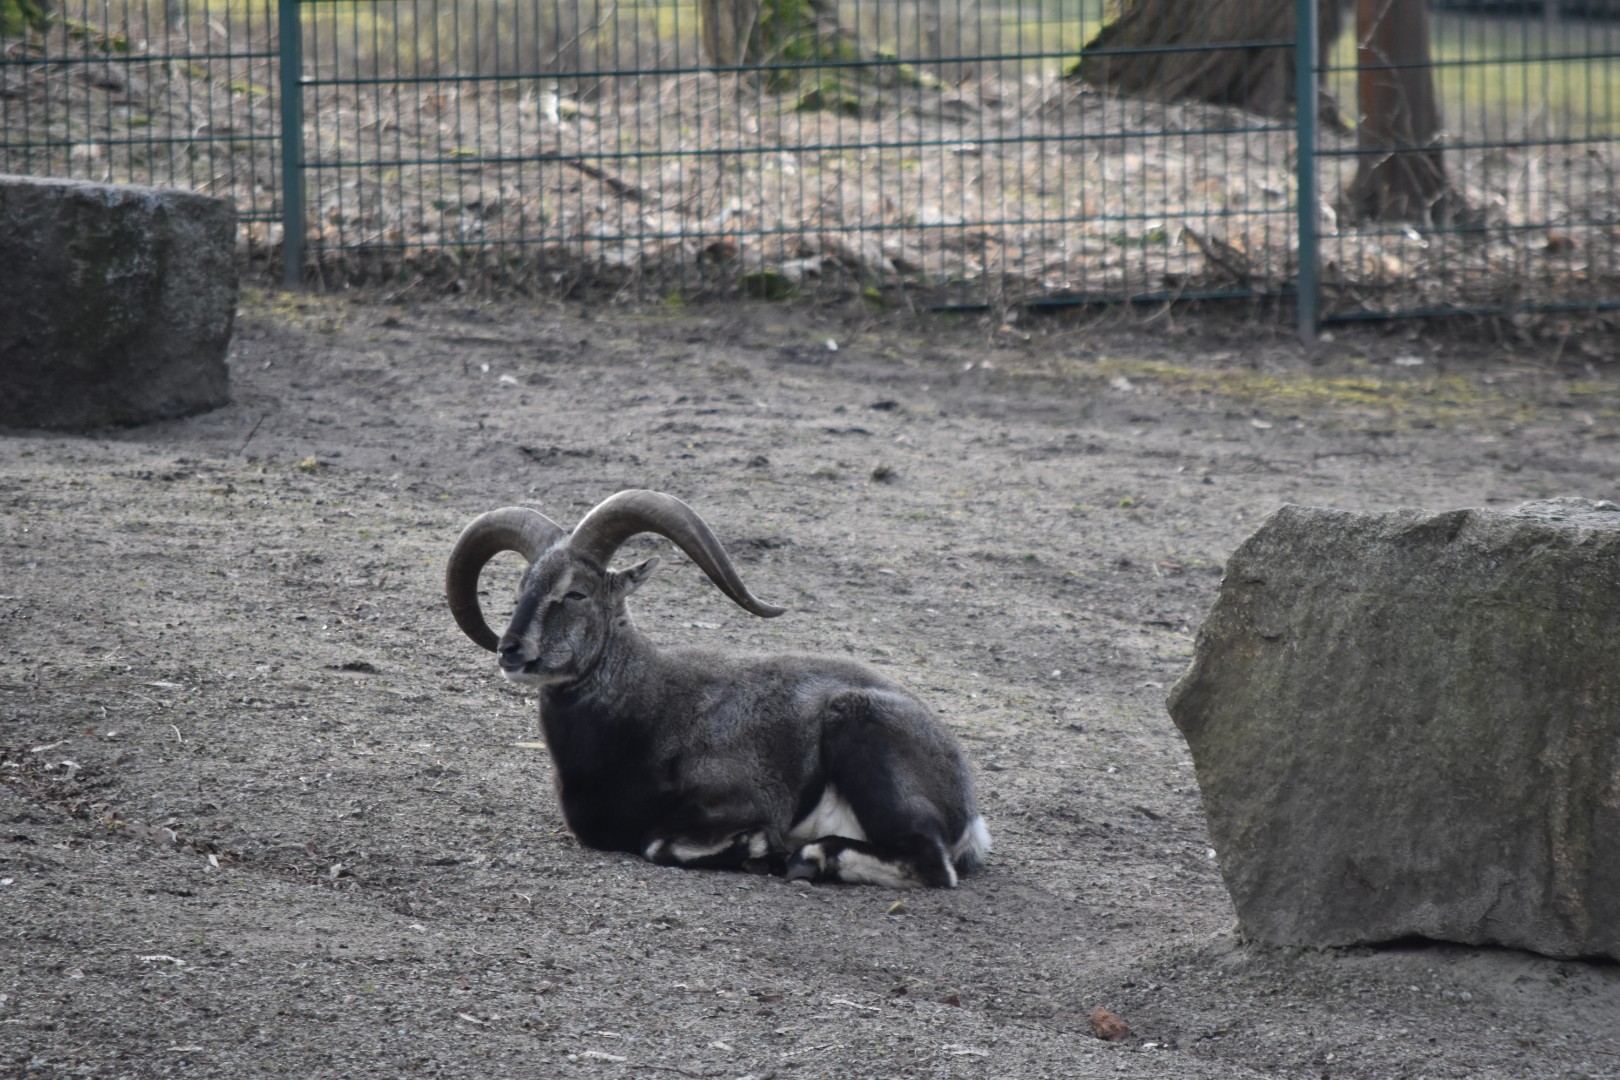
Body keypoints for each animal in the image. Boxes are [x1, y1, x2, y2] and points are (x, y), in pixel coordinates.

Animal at [445, 489, 991, 888]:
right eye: (523, 590)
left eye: (576, 592)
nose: (511, 650)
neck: (649, 711)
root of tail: (964, 803)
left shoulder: (739, 798)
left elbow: (658, 843)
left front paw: (760, 847)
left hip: (859, 729)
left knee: (931, 865)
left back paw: (811, 858)